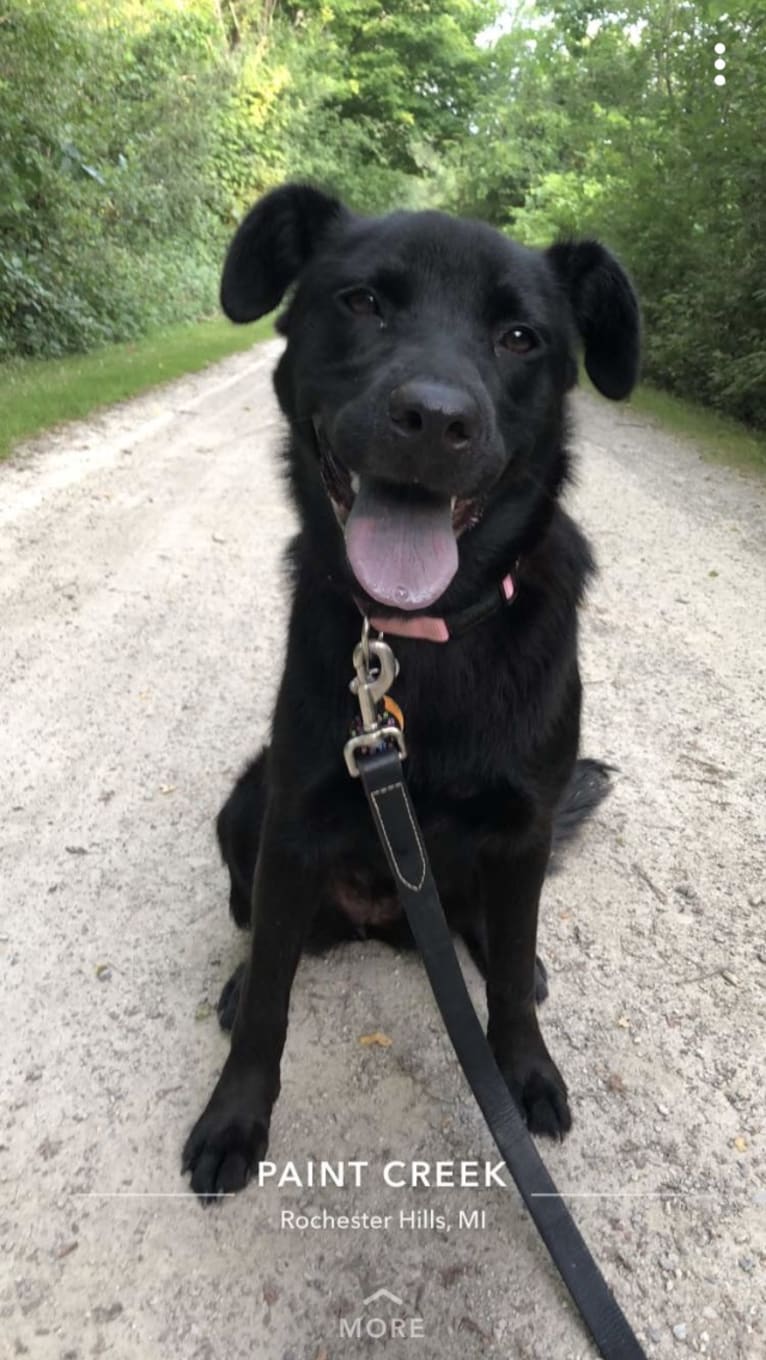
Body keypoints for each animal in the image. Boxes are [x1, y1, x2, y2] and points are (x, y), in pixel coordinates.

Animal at [180, 183, 642, 1202]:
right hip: (248, 802)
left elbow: (506, 983)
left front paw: (525, 1067)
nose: (434, 420)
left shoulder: (524, 827)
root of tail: (384, 921)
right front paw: (235, 1114)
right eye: (362, 303)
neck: (420, 637)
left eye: (520, 337)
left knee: (493, 941)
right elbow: (269, 996)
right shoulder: (294, 816)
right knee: (264, 933)